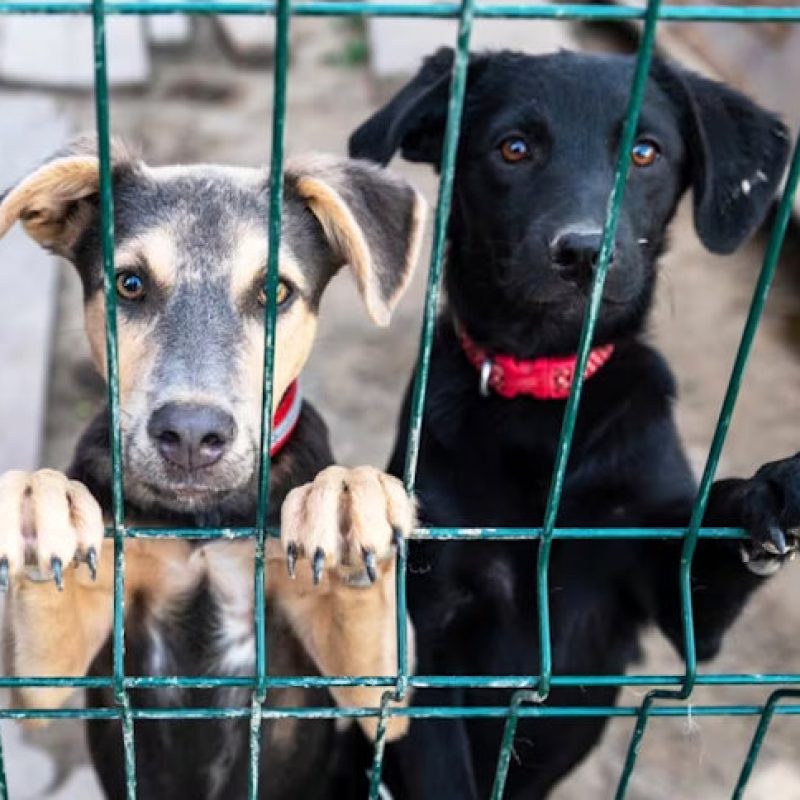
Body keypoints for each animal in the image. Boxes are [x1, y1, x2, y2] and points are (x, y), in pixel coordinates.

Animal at [0, 141, 428, 796]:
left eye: (275, 291)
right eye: (129, 284)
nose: (191, 436)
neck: (201, 518)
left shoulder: (377, 692)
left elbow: (375, 654)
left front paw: (350, 501)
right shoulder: (46, 677)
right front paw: (38, 502)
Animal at [350, 50, 800, 800]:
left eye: (646, 153)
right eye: (513, 148)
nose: (585, 252)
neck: (545, 402)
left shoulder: (672, 593)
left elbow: (713, 532)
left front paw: (774, 491)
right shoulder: (428, 632)